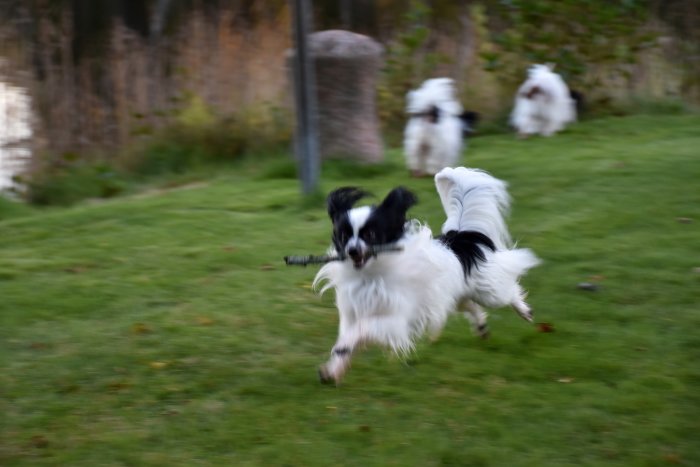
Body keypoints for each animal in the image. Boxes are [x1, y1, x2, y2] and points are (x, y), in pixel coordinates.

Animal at [314, 166, 540, 382]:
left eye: (370, 235)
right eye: (343, 236)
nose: (352, 250)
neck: (370, 275)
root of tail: (460, 238)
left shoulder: (396, 320)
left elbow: (360, 330)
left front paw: (340, 354)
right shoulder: (352, 314)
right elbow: (347, 344)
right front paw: (333, 371)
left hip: (488, 292)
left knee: (508, 293)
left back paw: (524, 311)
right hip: (455, 295)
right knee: (470, 305)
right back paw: (482, 327)